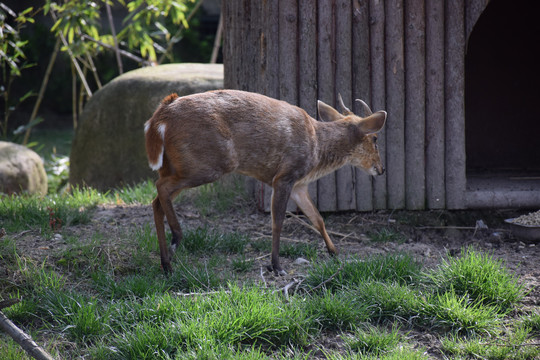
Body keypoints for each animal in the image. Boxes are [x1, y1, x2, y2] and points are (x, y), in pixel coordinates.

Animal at [146, 88, 386, 274]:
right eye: (375, 138)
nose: (381, 169)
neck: (317, 148)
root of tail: (160, 118)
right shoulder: (284, 176)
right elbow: (277, 221)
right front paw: (276, 266)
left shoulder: (299, 185)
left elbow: (317, 218)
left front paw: (334, 252)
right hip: (206, 164)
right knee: (161, 188)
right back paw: (176, 239)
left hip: (175, 165)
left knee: (157, 201)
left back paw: (166, 264)